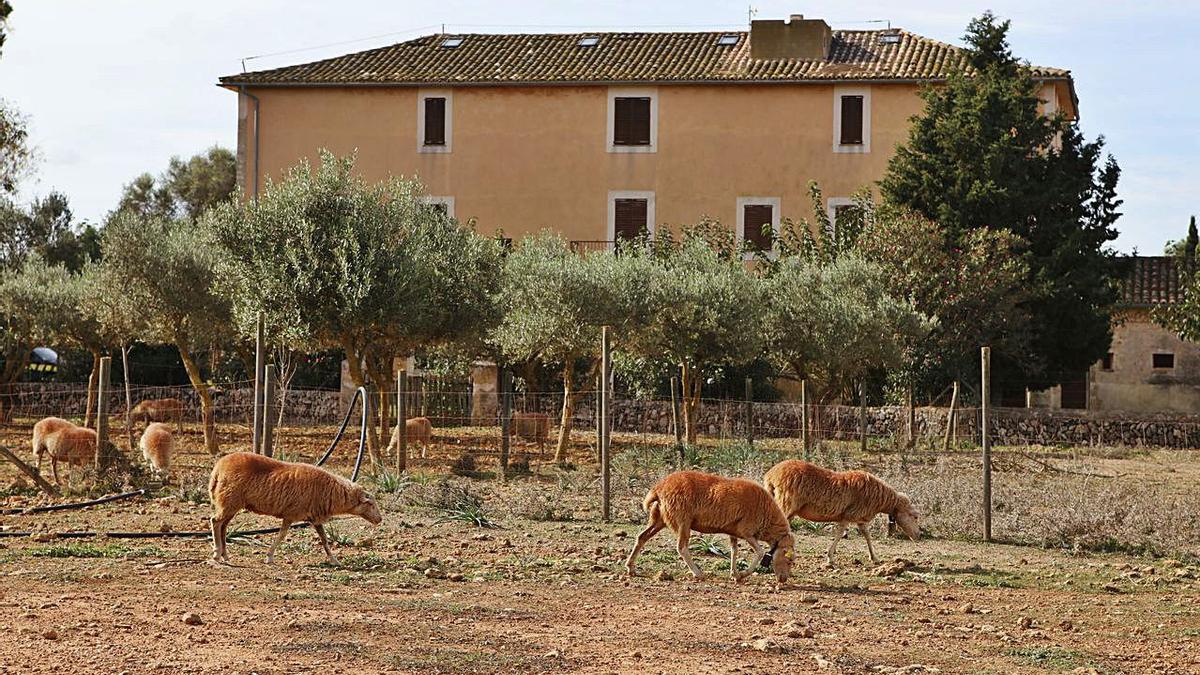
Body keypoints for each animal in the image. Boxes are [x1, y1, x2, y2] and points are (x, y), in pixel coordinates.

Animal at [208, 451, 381, 562]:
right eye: (371, 504)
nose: (379, 519)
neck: (332, 491)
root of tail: (218, 468)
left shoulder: (315, 518)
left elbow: (324, 540)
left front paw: (334, 560)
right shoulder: (291, 514)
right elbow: (282, 535)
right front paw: (269, 556)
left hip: (230, 504)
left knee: (223, 526)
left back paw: (224, 555)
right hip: (229, 501)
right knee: (215, 522)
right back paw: (217, 554)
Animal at [624, 470, 792, 581]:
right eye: (789, 559)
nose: (783, 580)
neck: (768, 518)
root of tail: (658, 488)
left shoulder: (734, 531)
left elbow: (734, 551)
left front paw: (734, 574)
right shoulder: (747, 531)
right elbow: (760, 552)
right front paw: (743, 574)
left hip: (659, 519)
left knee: (642, 537)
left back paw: (630, 567)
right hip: (682, 520)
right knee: (681, 547)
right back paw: (698, 573)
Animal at [763, 456, 921, 562]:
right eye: (915, 516)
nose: (919, 535)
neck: (880, 498)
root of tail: (771, 475)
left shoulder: (859, 518)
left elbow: (867, 535)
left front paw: (874, 557)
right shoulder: (849, 515)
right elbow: (840, 534)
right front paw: (830, 557)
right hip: (786, 504)